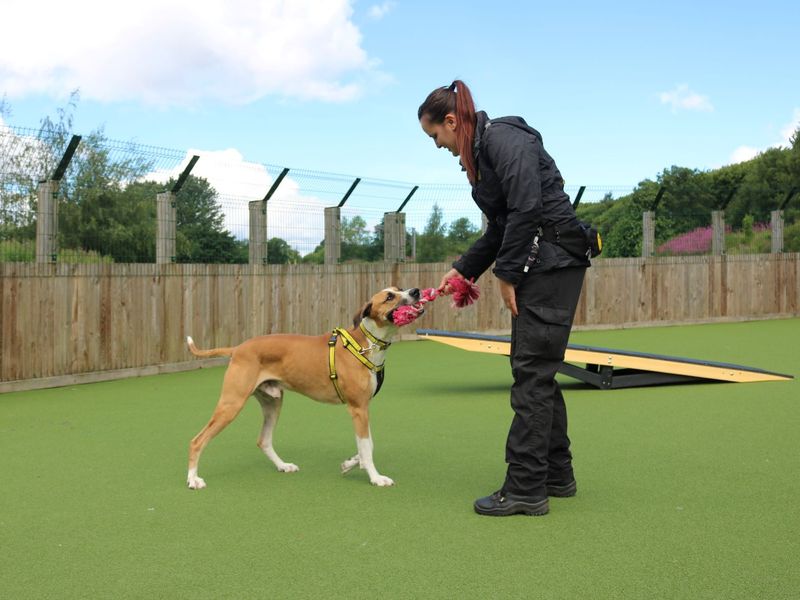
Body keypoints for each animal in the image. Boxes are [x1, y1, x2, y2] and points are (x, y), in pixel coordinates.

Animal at [184, 284, 422, 488]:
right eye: (389, 297)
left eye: (400, 288)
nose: (416, 291)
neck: (365, 343)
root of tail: (238, 348)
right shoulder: (358, 408)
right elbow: (366, 447)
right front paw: (375, 477)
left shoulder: (363, 409)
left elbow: (367, 445)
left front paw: (351, 463)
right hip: (231, 404)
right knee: (197, 441)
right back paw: (193, 479)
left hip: (272, 404)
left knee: (264, 441)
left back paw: (283, 466)